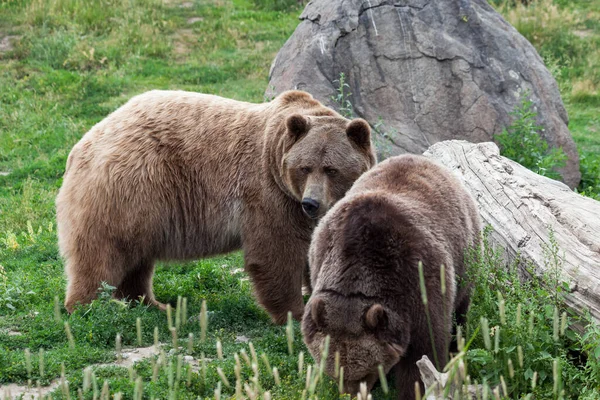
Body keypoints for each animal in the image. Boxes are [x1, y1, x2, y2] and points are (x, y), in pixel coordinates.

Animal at [57, 89, 376, 324]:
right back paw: (90, 307)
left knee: (137, 258)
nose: (311, 203)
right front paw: (293, 314)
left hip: (141, 205)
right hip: (128, 186)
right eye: (304, 167)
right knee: (102, 252)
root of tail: (83, 143)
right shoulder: (270, 195)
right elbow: (277, 252)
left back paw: (150, 303)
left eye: (331, 169)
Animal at [302, 153, 480, 396]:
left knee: (460, 311)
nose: (353, 394)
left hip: (465, 257)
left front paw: (415, 389)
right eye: (335, 373)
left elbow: (423, 353)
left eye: (365, 373)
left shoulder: (421, 283)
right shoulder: (320, 258)